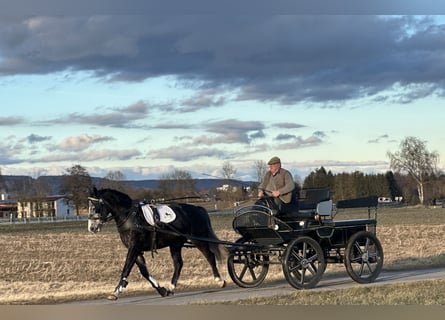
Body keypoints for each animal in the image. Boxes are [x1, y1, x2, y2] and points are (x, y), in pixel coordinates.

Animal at [87, 188, 225, 300]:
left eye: (94, 206)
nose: (92, 228)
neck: (130, 217)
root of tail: (199, 209)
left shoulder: (134, 247)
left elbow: (126, 268)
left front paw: (116, 291)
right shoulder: (136, 250)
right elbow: (144, 271)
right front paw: (162, 290)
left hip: (198, 240)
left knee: (210, 257)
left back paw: (219, 280)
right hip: (175, 244)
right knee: (178, 264)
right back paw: (171, 287)